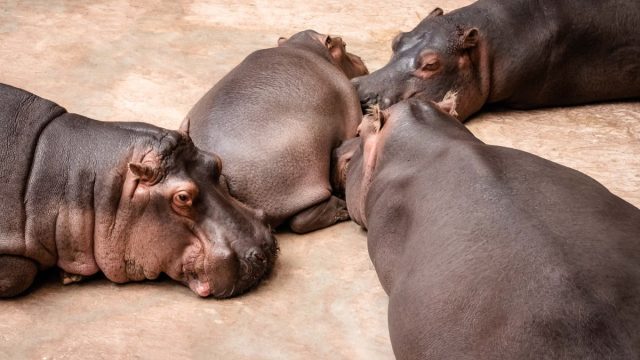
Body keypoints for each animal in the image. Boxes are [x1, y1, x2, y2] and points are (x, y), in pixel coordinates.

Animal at [182, 29, 368, 235]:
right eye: (343, 44)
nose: (361, 58)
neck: (304, 46)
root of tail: (220, 175)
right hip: (302, 179)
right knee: (302, 219)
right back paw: (341, 208)